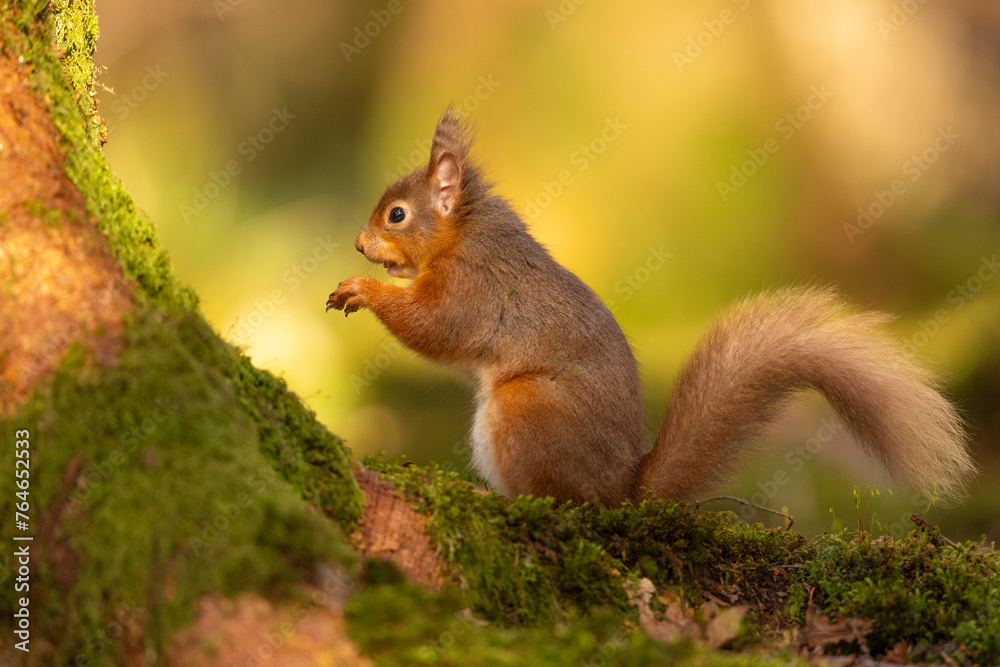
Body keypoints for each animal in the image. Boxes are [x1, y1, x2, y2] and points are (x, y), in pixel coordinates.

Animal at [328, 109, 976, 506]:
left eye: (397, 215)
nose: (358, 245)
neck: (461, 234)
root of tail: (622, 491)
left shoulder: (475, 287)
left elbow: (435, 328)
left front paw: (361, 289)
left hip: (526, 408)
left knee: (560, 500)